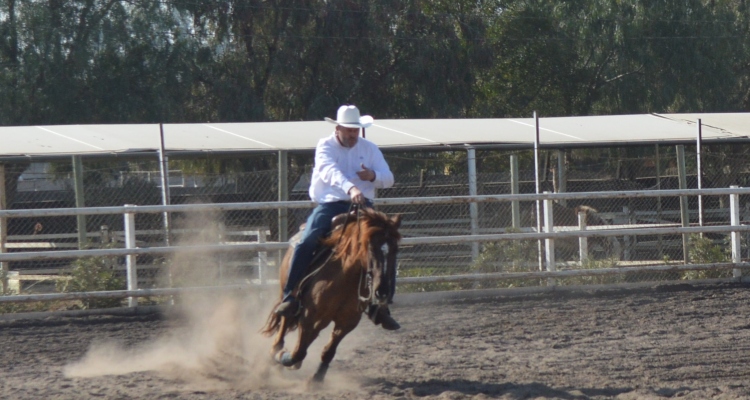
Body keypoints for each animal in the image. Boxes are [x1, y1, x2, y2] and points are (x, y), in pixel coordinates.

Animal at [262, 206, 402, 384]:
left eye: (395, 249)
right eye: (370, 247)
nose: (382, 291)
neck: (345, 277)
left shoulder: (347, 322)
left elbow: (328, 351)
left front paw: (316, 380)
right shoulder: (309, 318)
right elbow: (299, 351)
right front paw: (283, 357)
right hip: (287, 293)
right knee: (286, 321)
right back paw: (275, 352)